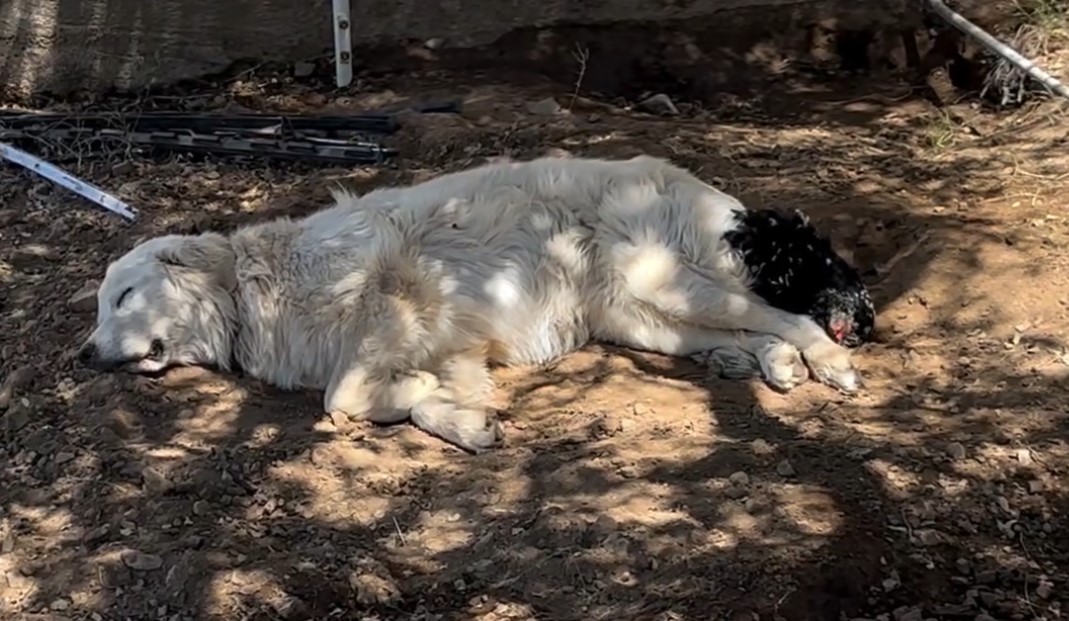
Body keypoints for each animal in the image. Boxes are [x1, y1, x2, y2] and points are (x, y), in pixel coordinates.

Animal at [83, 153, 868, 451]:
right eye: (99, 306)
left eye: (123, 295)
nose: (84, 355)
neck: (252, 291)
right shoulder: (455, 349)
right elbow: (421, 400)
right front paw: (462, 420)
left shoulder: (390, 302)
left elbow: (341, 396)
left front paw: (416, 397)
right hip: (643, 318)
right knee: (755, 327)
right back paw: (767, 363)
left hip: (658, 282)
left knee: (790, 315)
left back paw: (827, 363)